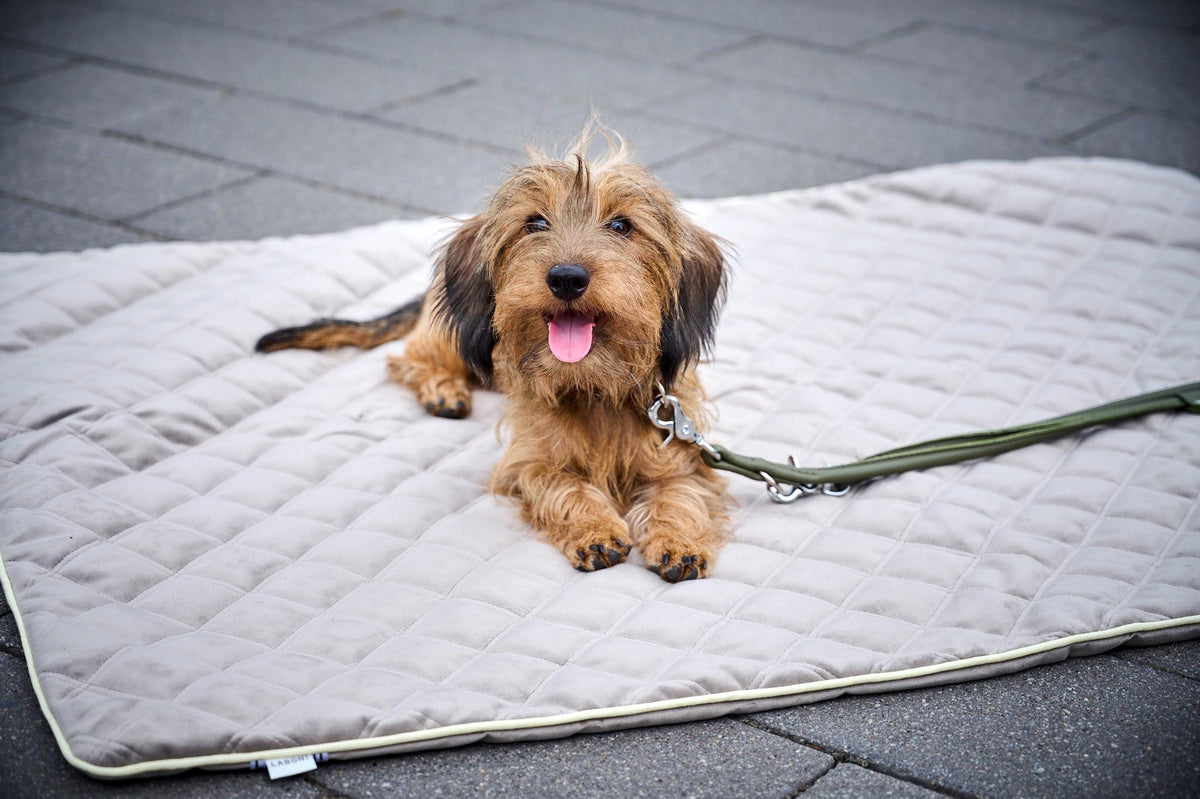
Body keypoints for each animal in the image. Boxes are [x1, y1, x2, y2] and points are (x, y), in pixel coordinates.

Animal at [258, 133, 729, 583]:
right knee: (406, 359)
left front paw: (678, 542)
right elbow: (562, 485)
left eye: (621, 225)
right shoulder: (527, 463)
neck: (591, 385)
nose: (566, 277)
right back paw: (443, 391)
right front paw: (593, 529)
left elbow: (680, 495)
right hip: (452, 334)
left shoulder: (683, 454)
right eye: (534, 222)